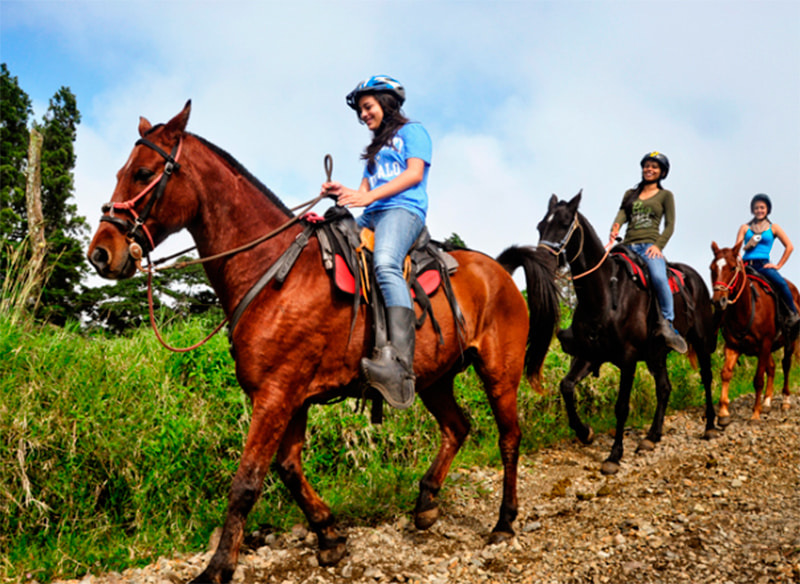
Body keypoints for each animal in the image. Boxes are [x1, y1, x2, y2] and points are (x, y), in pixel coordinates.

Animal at [86, 102, 556, 580]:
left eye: (144, 173)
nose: (101, 253)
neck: (276, 270)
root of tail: (498, 270)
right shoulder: (287, 396)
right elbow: (288, 468)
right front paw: (329, 535)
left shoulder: (277, 393)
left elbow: (247, 481)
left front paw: (218, 567)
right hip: (434, 379)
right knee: (457, 427)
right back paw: (426, 501)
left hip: (498, 372)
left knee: (509, 437)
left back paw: (504, 521)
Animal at [500, 194, 720, 476]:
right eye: (540, 226)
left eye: (564, 224)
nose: (542, 259)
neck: (603, 294)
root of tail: (696, 277)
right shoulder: (588, 355)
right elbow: (566, 387)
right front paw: (585, 432)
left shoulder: (627, 359)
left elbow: (621, 406)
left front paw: (614, 455)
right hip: (656, 354)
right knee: (664, 388)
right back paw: (652, 436)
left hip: (701, 341)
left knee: (706, 378)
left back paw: (711, 426)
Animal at [708, 240, 796, 422]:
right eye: (711, 268)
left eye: (733, 268)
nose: (718, 301)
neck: (746, 308)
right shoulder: (733, 345)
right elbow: (726, 374)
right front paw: (724, 413)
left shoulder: (764, 344)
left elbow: (758, 380)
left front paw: (755, 413)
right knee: (772, 367)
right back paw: (767, 402)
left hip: (789, 341)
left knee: (785, 365)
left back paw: (785, 401)